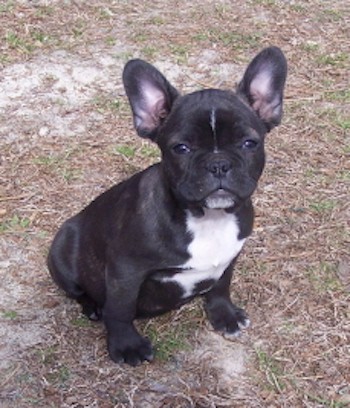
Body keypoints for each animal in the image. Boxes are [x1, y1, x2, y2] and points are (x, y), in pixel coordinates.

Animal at [47, 47, 288, 366]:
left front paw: (224, 315)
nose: (218, 163)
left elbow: (221, 285)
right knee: (78, 291)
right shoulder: (126, 270)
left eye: (249, 143)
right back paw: (92, 307)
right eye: (181, 148)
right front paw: (126, 346)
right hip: (63, 252)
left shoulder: (230, 256)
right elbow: (120, 309)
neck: (207, 218)